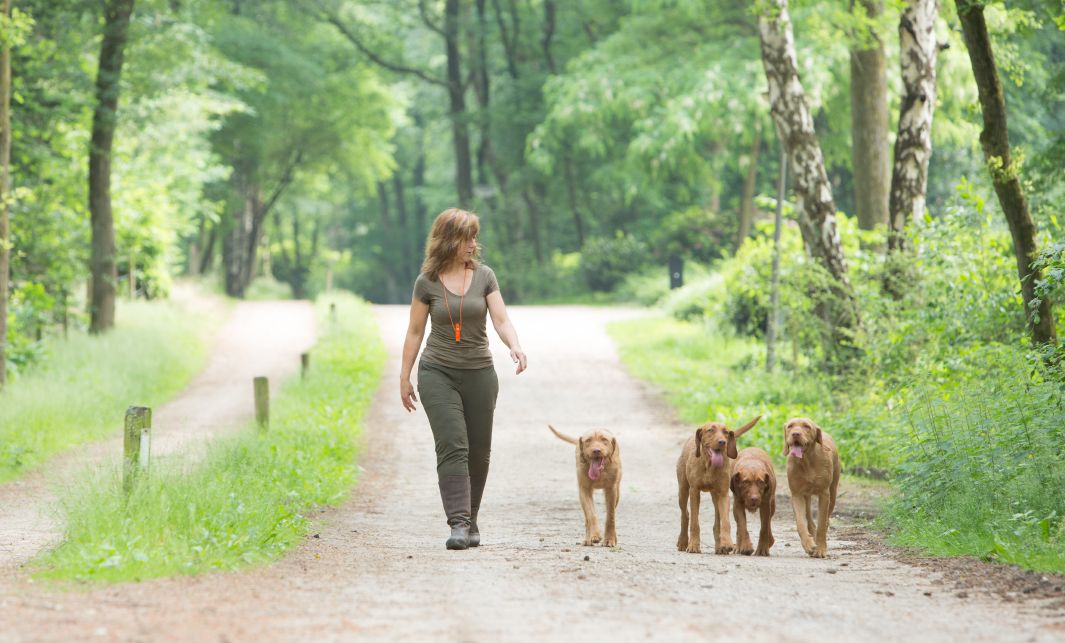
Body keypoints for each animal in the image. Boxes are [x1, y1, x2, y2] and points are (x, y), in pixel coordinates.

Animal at [783, 417, 839, 557]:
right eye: (790, 426)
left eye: (807, 427)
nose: (795, 434)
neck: (806, 461)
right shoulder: (796, 494)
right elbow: (801, 523)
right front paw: (808, 544)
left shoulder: (824, 495)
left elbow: (822, 524)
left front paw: (821, 549)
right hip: (806, 496)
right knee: (809, 518)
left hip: (833, 493)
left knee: (826, 519)